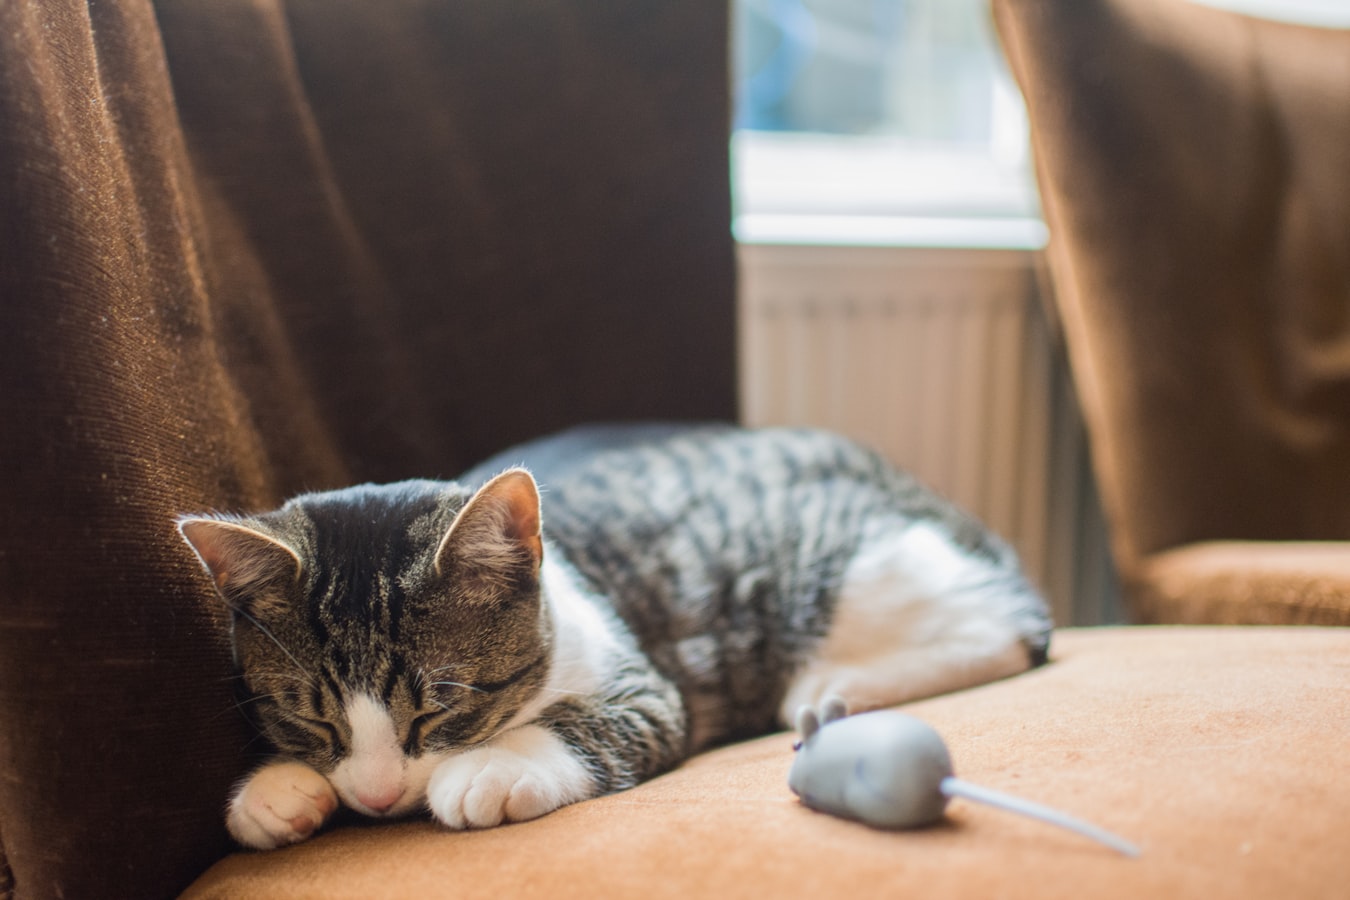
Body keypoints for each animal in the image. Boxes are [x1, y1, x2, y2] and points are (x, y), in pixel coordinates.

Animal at [179, 426, 1047, 847]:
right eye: (309, 718)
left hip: (862, 569)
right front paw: (279, 789)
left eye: (439, 709)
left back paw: (835, 687)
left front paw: (491, 768)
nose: (378, 795)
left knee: (1013, 624)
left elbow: (595, 722)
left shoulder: (649, 687)